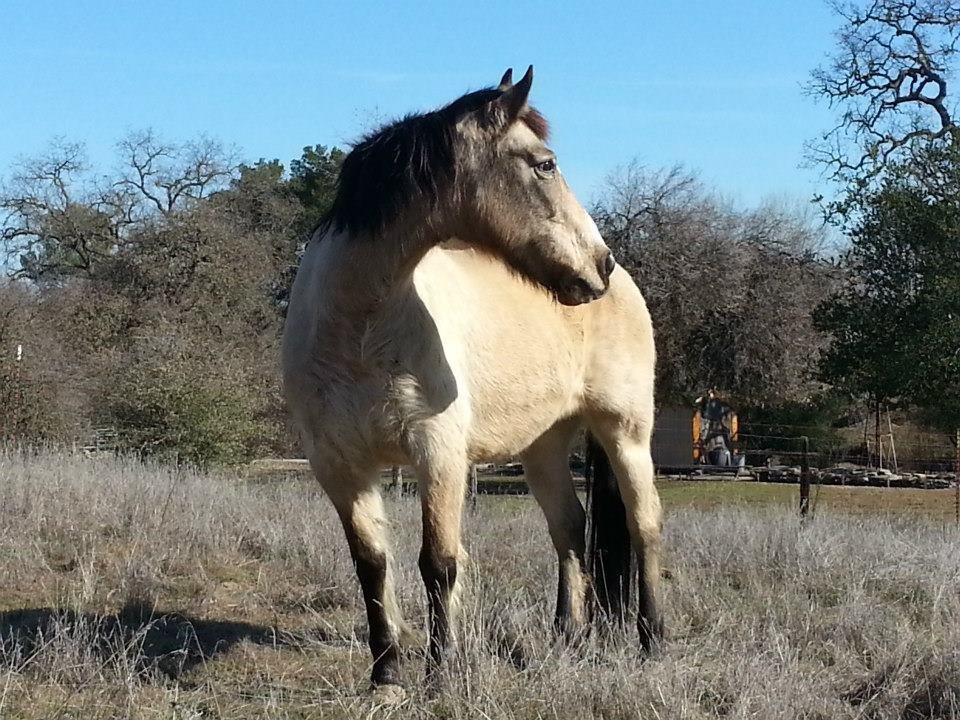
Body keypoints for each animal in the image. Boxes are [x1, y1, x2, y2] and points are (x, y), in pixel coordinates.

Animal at [282, 66, 662, 688]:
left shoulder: (438, 454)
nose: (599, 264)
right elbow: (372, 565)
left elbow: (439, 563)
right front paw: (386, 674)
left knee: (644, 526)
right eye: (545, 164)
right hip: (543, 447)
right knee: (569, 530)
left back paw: (653, 641)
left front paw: (442, 671)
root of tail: (625, 286)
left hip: (625, 432)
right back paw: (567, 637)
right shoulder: (339, 466)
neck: (358, 329)